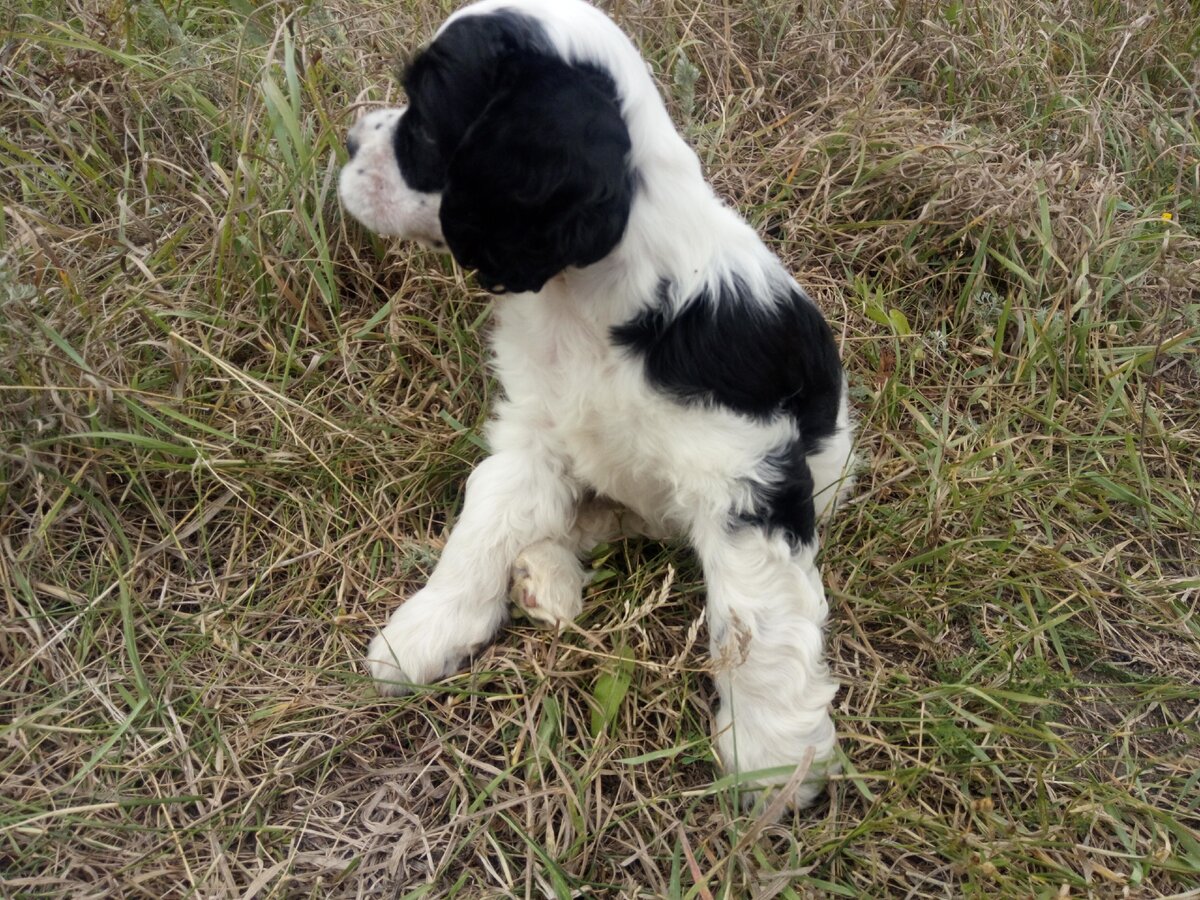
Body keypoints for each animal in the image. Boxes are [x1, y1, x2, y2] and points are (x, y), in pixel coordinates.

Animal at [340, 0, 854, 811]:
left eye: (421, 119)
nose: (352, 138)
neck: (594, 297)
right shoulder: (532, 433)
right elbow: (483, 522)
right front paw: (428, 629)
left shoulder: (746, 478)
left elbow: (757, 623)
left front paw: (772, 762)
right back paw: (544, 577)